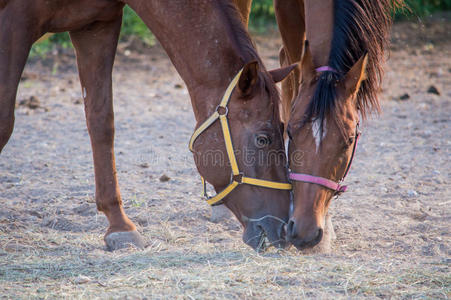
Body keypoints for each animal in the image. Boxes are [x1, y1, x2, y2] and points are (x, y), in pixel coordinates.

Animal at [0, 0, 296, 251]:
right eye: (262, 138)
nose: (282, 228)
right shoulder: (15, 23)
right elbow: (5, 123)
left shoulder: (97, 24)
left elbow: (101, 121)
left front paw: (118, 224)